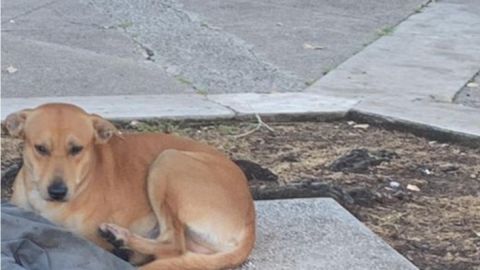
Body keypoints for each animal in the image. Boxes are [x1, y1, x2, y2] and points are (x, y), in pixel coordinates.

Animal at [5, 103, 255, 268]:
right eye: (40, 148)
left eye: (77, 149)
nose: (57, 192)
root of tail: (250, 218)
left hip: (168, 160)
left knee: (174, 243)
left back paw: (123, 240)